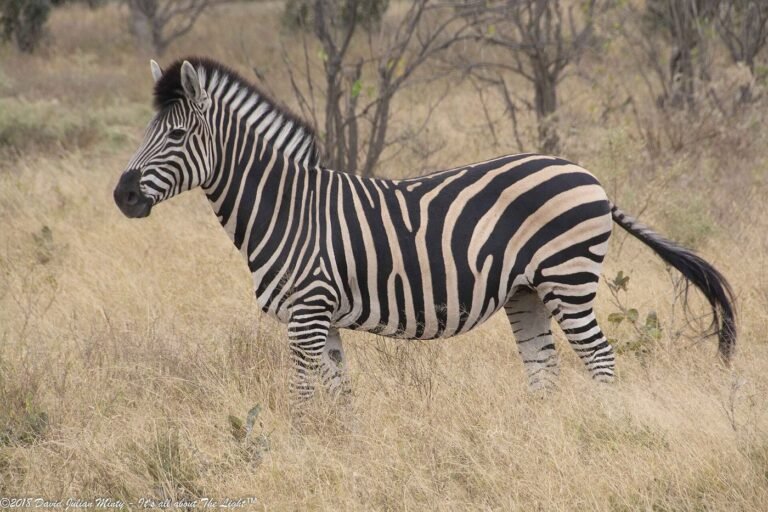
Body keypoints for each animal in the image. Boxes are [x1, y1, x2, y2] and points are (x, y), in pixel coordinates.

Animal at [114, 57, 736, 400]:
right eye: (146, 130)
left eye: (175, 136)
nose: (122, 196)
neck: (286, 207)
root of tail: (588, 174)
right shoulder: (322, 319)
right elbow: (341, 399)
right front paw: (344, 455)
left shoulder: (307, 313)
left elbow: (301, 397)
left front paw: (296, 451)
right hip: (527, 292)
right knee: (543, 372)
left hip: (568, 279)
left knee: (601, 361)